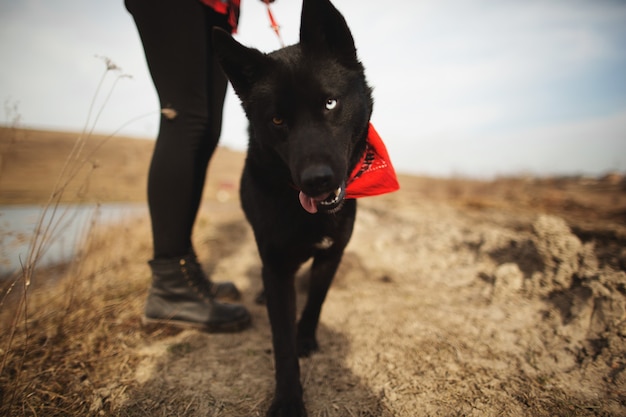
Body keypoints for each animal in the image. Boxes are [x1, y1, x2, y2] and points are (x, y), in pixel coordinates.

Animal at [212, 1, 392, 414]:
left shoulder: (331, 255)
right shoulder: (277, 267)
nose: (317, 181)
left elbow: (315, 303)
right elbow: (282, 342)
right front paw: (288, 400)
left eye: (330, 102)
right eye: (278, 119)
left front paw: (306, 338)